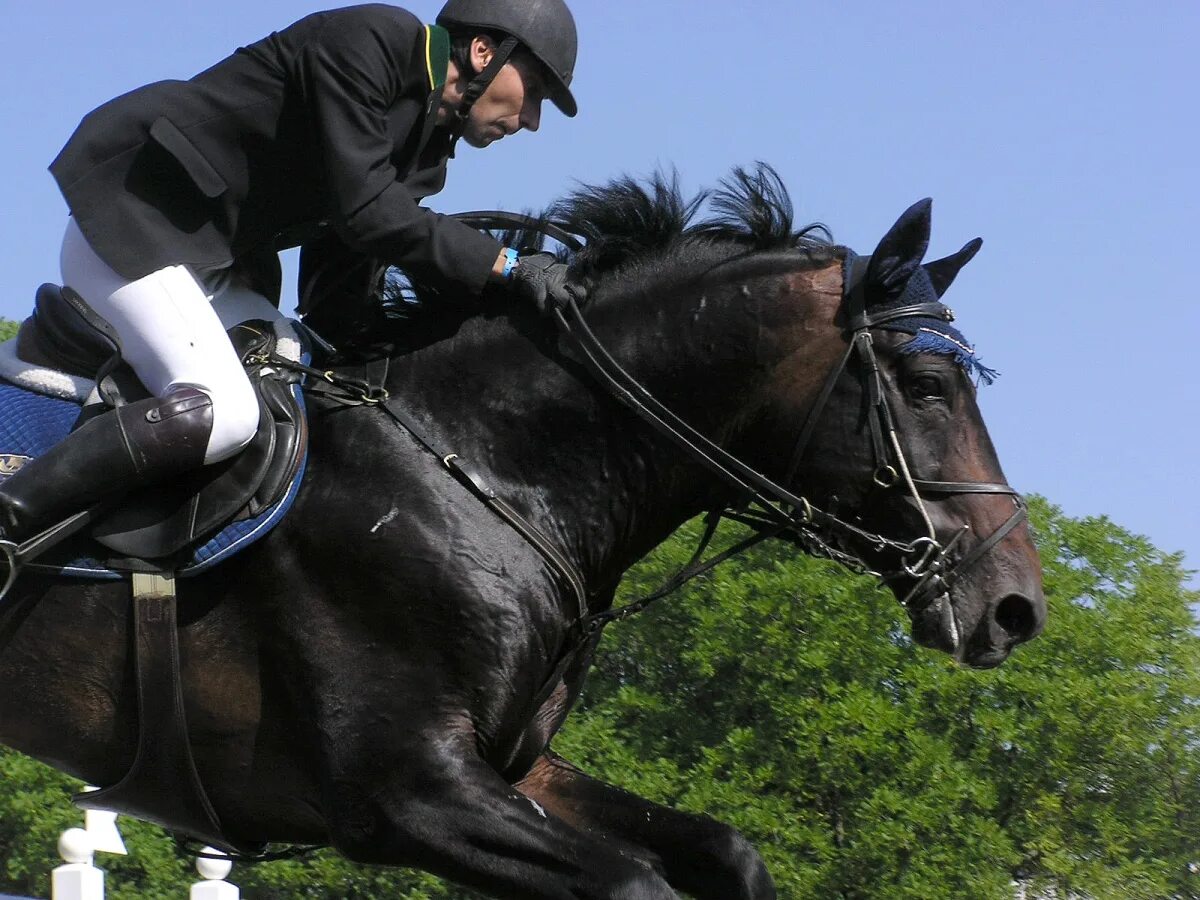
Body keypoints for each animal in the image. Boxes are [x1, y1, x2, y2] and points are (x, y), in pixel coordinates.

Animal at [0, 169, 1041, 900]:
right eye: (927, 387)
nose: (1014, 607)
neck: (488, 466)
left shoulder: (517, 768)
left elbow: (727, 849)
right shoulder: (411, 794)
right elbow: (634, 882)